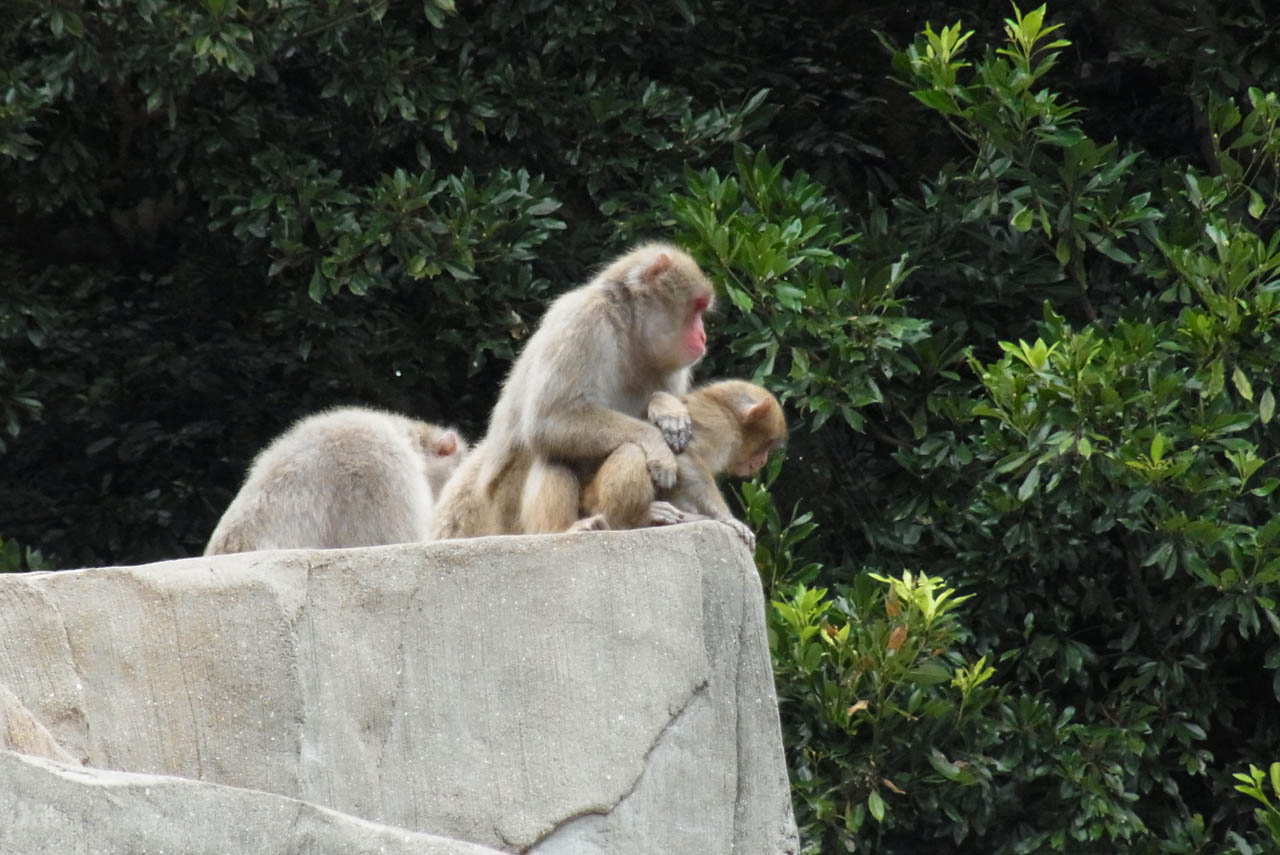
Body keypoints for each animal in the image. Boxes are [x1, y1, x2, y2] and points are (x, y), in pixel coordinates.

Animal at [432, 240, 721, 537]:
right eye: (697, 307)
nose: (703, 337)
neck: (628, 333)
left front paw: (667, 409)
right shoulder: (582, 320)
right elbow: (550, 419)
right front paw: (655, 440)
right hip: (507, 514)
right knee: (549, 448)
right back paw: (565, 527)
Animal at [573, 378, 788, 550]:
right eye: (766, 444)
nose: (763, 461)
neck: (727, 411)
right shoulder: (719, 427)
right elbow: (682, 456)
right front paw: (727, 518)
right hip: (594, 499)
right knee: (633, 451)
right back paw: (627, 522)